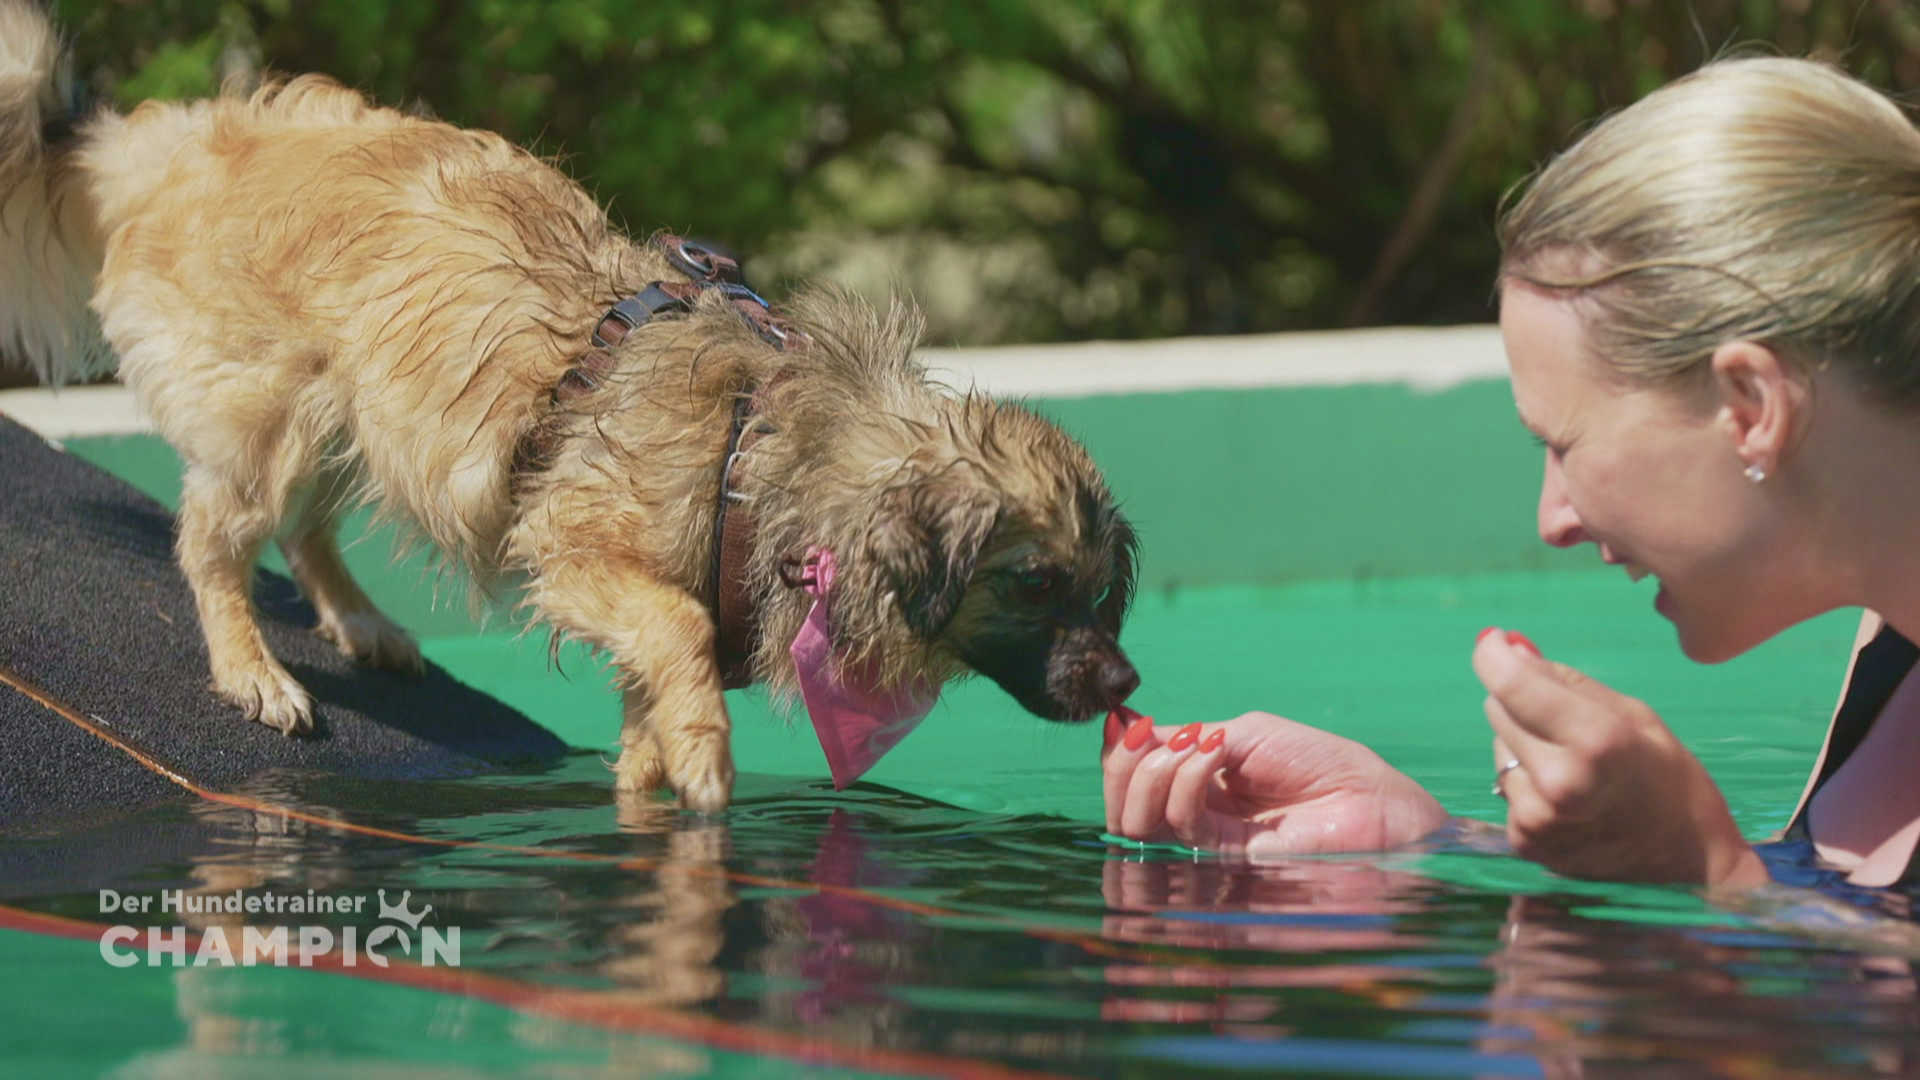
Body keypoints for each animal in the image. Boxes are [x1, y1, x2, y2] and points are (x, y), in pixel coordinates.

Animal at [0, 2, 1136, 807]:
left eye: (1100, 593)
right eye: (1034, 583)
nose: (1126, 686)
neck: (766, 457)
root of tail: (178, 144)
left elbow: (649, 715)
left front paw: (654, 790)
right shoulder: (585, 556)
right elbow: (679, 628)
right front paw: (708, 760)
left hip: (354, 415)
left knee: (306, 527)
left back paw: (360, 621)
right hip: (275, 415)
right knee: (213, 539)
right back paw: (253, 669)